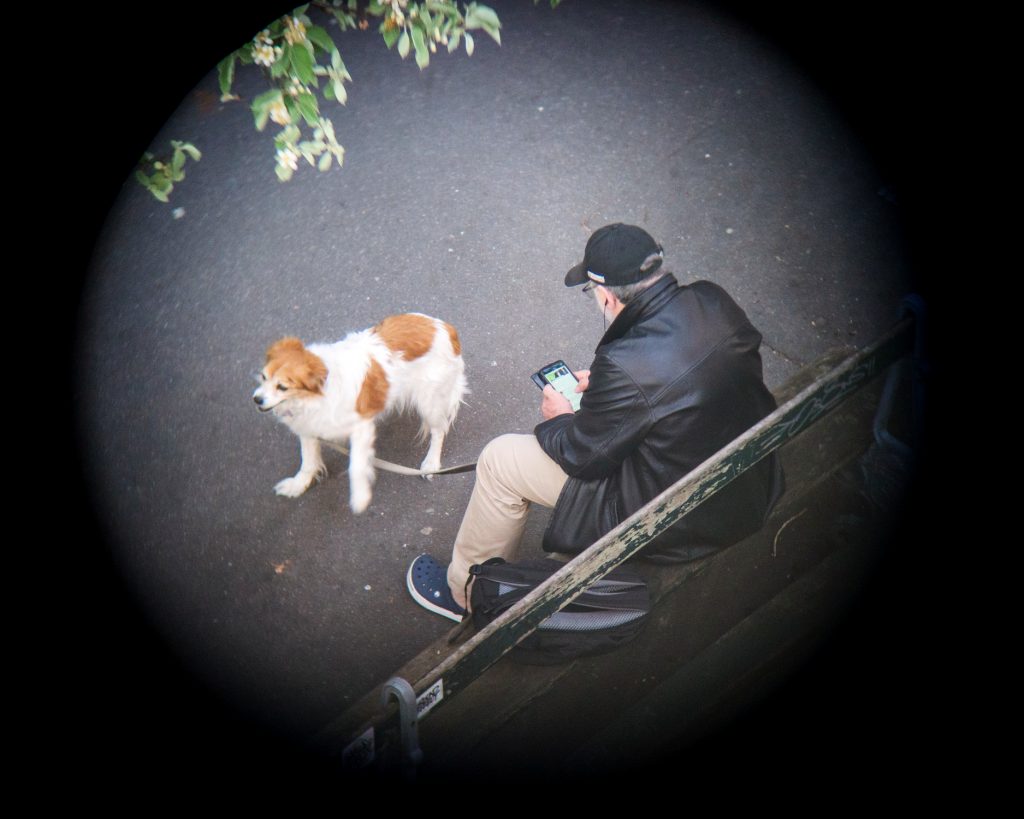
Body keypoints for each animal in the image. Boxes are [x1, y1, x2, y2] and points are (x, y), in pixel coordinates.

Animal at [252, 311, 468, 511]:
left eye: (282, 387)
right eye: (263, 377)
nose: (256, 399)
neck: (316, 393)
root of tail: (444, 327)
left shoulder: (361, 427)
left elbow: (355, 465)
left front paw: (360, 498)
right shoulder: (308, 426)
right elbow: (307, 461)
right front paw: (298, 486)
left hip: (429, 403)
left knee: (438, 431)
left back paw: (431, 463)